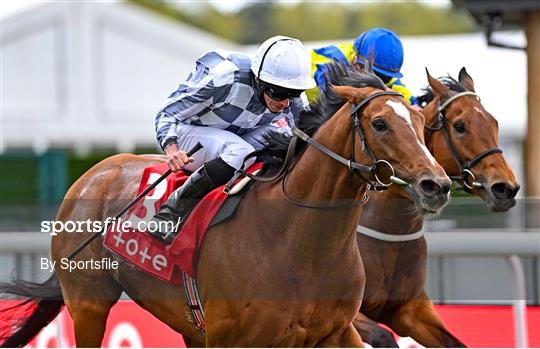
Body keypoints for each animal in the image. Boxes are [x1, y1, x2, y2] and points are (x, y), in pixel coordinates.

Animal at [2, 64, 452, 346]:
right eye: (380, 123)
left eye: (420, 122)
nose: (436, 185)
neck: (298, 241)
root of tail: (92, 174)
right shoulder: (232, 336)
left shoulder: (335, 331)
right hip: (88, 302)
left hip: (184, 320)